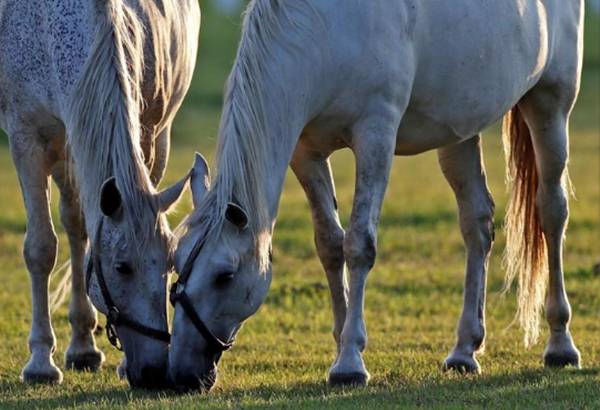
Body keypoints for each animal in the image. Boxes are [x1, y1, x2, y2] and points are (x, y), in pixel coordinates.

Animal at [0, 0, 202, 386]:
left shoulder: (150, 132)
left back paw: (83, 345)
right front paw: (40, 362)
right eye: (122, 268)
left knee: (78, 226)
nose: (154, 371)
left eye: (170, 264)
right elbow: (41, 248)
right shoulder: (27, 138)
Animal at [168, 0, 580, 390]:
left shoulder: (375, 138)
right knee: (477, 225)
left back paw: (560, 343)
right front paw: (340, 344)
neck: (324, 31)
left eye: (224, 276)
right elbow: (330, 245)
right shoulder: (306, 152)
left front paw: (350, 362)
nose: (182, 373)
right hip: (460, 131)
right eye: (176, 262)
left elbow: (359, 245)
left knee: (552, 211)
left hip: (551, 106)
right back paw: (465, 350)